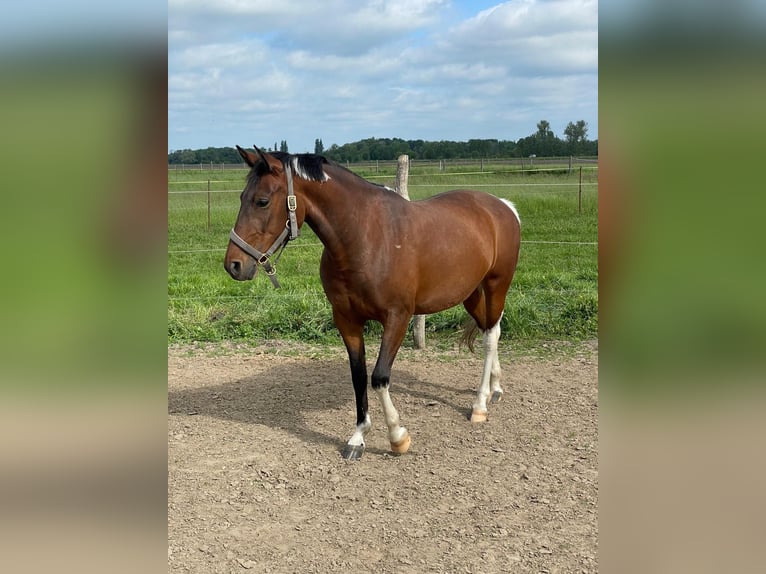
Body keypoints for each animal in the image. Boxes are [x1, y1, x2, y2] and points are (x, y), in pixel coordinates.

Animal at [224, 147, 520, 464]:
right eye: (241, 197)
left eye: (262, 201)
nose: (233, 265)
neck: (364, 238)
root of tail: (503, 206)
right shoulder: (347, 319)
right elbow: (358, 376)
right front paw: (357, 437)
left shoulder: (397, 318)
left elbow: (379, 377)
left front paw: (398, 437)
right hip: (470, 294)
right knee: (489, 329)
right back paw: (495, 388)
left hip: (496, 285)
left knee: (490, 337)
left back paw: (480, 405)